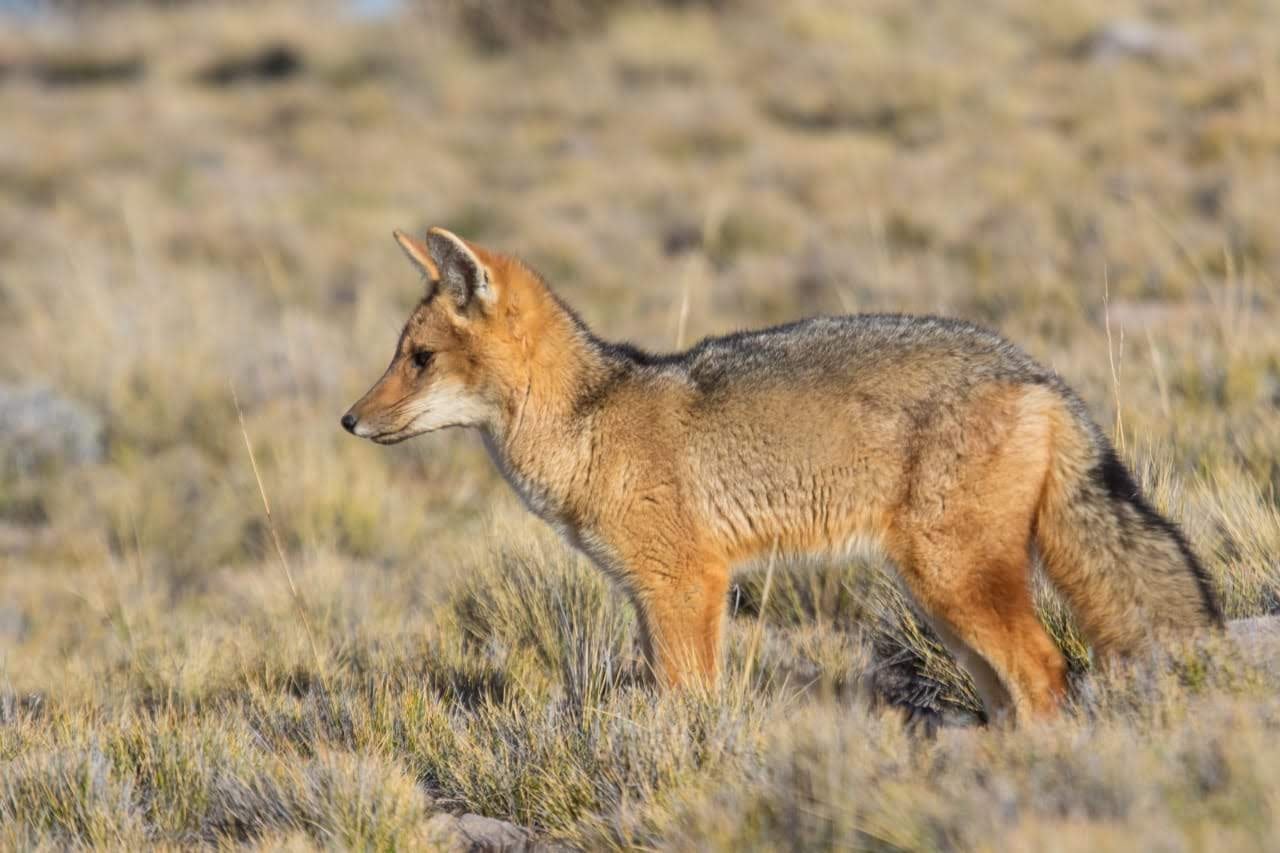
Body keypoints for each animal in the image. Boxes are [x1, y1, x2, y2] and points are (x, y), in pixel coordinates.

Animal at [345, 224, 1223, 717]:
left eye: (419, 359)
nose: (349, 420)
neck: (593, 421)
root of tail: (1035, 371)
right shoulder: (650, 597)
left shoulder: (687, 587)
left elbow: (689, 707)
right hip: (945, 601)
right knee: (1012, 691)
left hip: (956, 583)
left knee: (1046, 675)